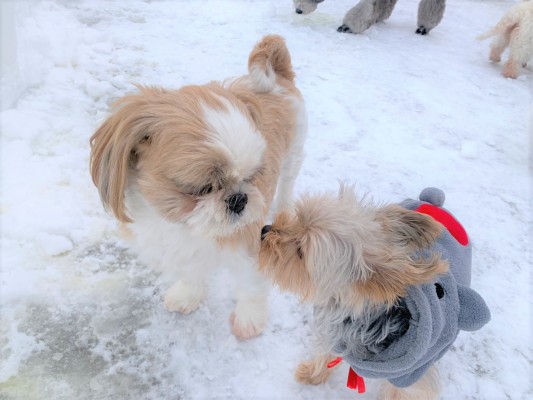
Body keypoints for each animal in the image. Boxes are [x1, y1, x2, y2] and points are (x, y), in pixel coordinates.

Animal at [91, 36, 306, 340]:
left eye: (253, 176)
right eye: (204, 187)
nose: (239, 199)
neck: (182, 225)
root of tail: (277, 78)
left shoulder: (249, 242)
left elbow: (251, 286)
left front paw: (249, 318)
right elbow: (191, 274)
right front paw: (187, 295)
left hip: (293, 155)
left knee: (288, 183)